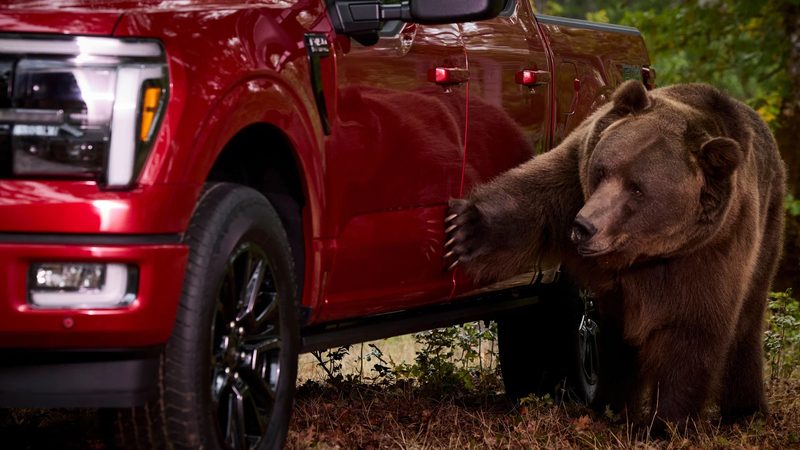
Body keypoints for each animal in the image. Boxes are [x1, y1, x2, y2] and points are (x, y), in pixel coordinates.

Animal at [445, 80, 786, 430]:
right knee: (615, 341)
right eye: (603, 170)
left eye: (637, 188)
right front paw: (464, 228)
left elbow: (690, 330)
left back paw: (745, 411)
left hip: (767, 228)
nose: (584, 226)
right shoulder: (574, 180)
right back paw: (610, 406)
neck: (638, 253)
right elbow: (530, 202)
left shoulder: (707, 250)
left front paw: (667, 423)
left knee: (746, 323)